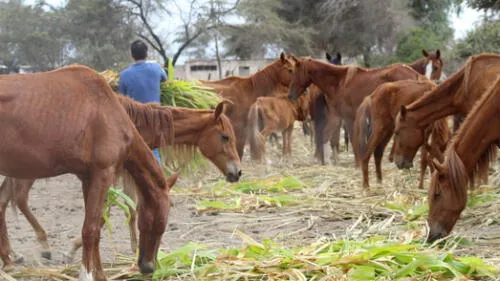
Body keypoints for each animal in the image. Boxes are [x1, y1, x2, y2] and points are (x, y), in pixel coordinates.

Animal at [0, 64, 179, 278]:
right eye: (160, 221)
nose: (148, 267)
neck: (107, 111)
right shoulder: (102, 175)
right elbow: (90, 230)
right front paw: (86, 274)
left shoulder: (88, 178)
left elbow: (95, 227)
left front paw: (99, 274)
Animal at [0, 100, 242, 264]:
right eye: (225, 137)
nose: (238, 172)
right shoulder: (109, 172)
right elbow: (109, 210)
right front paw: (73, 249)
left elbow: (127, 208)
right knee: (17, 198)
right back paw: (37, 246)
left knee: (6, 200)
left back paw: (13, 254)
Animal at [288, 55, 424, 165]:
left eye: (294, 73)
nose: (290, 95)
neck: (338, 82)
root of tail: (414, 74)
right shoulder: (335, 116)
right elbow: (326, 136)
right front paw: (326, 161)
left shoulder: (348, 116)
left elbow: (352, 139)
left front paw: (357, 163)